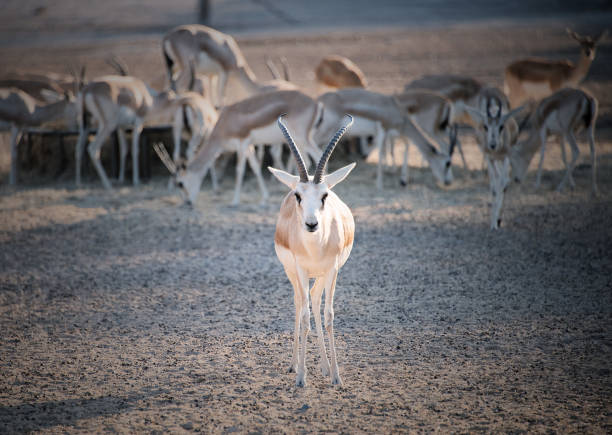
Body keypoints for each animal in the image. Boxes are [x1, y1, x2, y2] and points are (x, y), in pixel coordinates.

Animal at [163, 25, 296, 107]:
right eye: (277, 90)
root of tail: (168, 36)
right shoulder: (224, 72)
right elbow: (222, 99)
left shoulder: (212, 76)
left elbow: (212, 99)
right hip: (186, 69)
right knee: (176, 86)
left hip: (175, 68)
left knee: (169, 86)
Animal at [270, 115, 356, 388]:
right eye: (298, 195)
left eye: (325, 195)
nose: (311, 224)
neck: (316, 248)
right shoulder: (299, 269)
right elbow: (306, 316)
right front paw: (301, 376)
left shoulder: (333, 269)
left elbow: (328, 316)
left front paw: (336, 376)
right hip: (294, 274)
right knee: (300, 303)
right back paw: (294, 365)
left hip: (320, 276)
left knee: (315, 300)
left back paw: (325, 367)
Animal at [316, 88, 454, 189]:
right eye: (447, 163)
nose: (448, 182)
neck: (396, 110)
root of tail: (320, 100)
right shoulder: (382, 130)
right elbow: (382, 154)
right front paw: (380, 184)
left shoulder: (396, 133)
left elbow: (401, 148)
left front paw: (403, 180)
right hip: (325, 131)